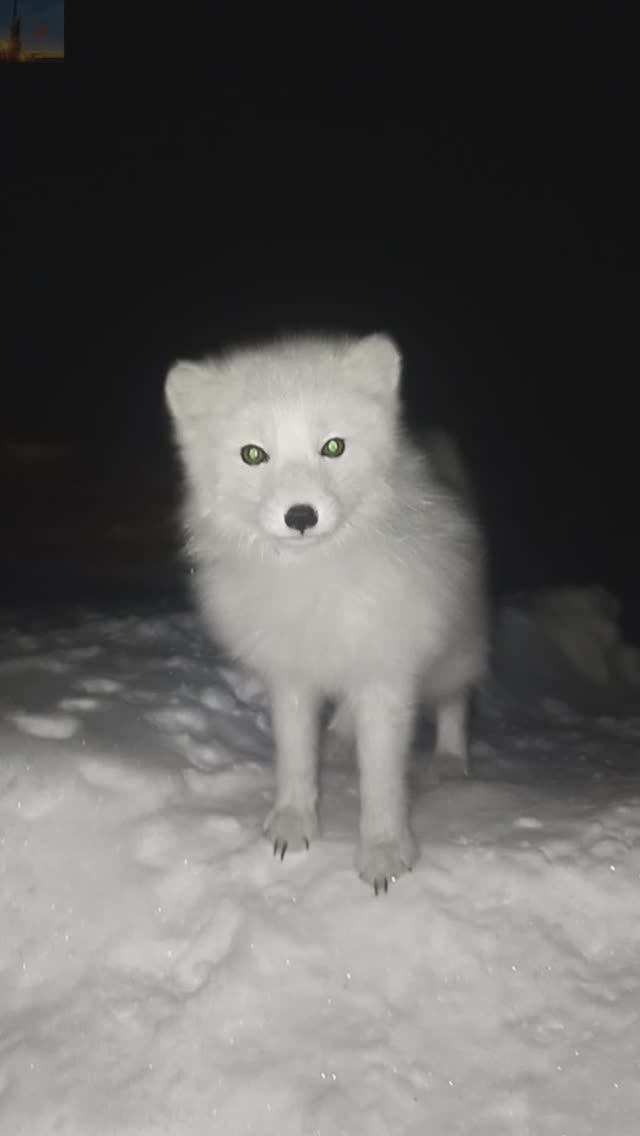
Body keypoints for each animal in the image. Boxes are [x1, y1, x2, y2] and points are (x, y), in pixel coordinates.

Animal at [167, 331, 491, 890]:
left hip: (451, 652)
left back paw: (450, 759)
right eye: (253, 454)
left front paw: (383, 851)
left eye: (333, 446)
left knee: (454, 699)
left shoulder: (385, 675)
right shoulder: (291, 673)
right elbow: (296, 757)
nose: (301, 516)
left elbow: (382, 777)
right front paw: (294, 823)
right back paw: (339, 736)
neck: (312, 579)